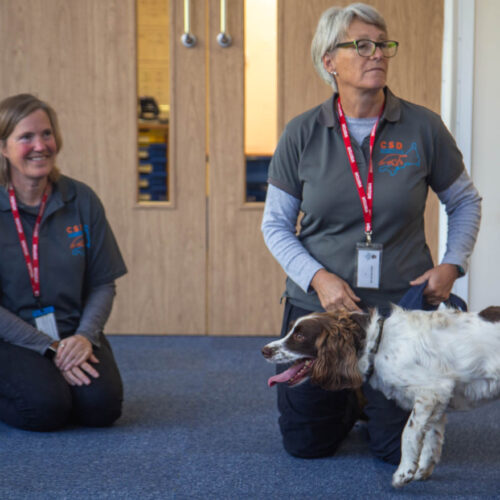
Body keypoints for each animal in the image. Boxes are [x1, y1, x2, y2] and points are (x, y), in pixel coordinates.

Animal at [261, 305, 500, 488]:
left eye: (300, 336)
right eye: (290, 330)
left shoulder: (431, 391)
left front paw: (404, 472)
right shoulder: (440, 398)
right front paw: (422, 470)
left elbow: (409, 433)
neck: (378, 342)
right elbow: (432, 439)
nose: (264, 350)